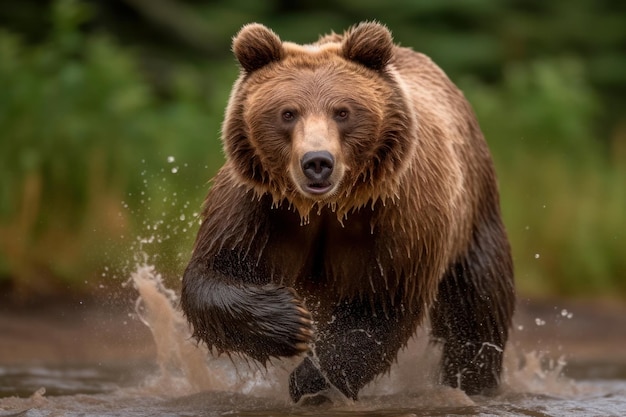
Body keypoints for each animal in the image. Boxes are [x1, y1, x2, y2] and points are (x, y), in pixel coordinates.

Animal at [179, 21, 512, 402]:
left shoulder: (397, 216)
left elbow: (381, 305)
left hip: (474, 217)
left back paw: (474, 381)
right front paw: (292, 322)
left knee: (476, 311)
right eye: (287, 112)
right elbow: (214, 272)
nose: (317, 162)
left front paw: (311, 380)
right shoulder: (260, 207)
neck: (325, 207)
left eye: (342, 112)